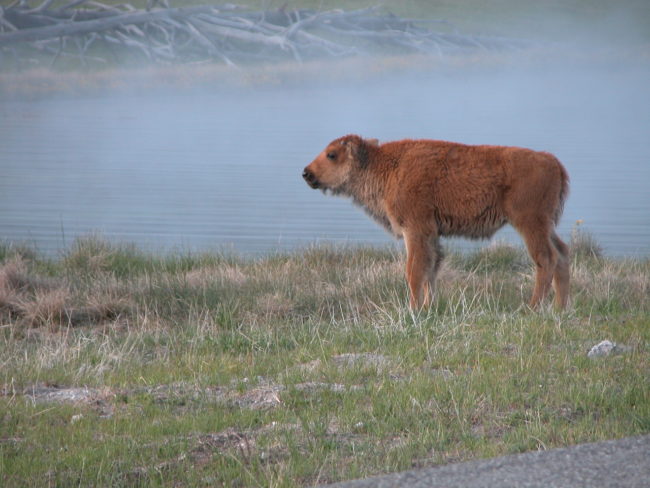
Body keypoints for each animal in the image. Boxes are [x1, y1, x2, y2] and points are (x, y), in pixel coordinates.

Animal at [302, 134, 568, 308]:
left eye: (332, 155)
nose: (306, 173)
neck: (386, 166)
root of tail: (552, 161)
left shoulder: (416, 230)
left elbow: (414, 271)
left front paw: (413, 310)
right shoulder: (431, 234)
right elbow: (431, 269)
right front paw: (429, 307)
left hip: (529, 223)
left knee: (546, 259)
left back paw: (532, 308)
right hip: (547, 225)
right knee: (562, 253)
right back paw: (560, 308)